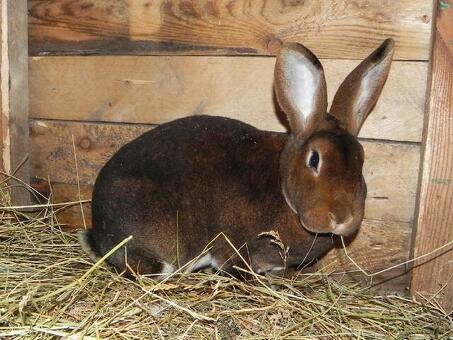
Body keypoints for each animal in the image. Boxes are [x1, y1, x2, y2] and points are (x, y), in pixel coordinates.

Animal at [79, 38, 394, 280]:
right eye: (314, 159)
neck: (282, 188)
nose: (342, 218)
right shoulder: (235, 248)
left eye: (361, 159)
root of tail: (99, 232)